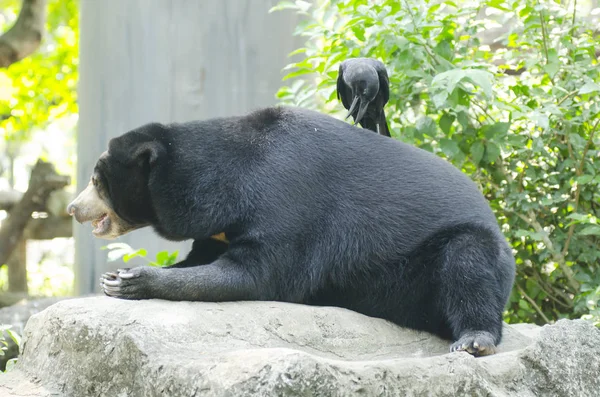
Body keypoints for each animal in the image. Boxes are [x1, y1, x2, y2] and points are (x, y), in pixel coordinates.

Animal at [67, 106, 516, 356]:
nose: (73, 208)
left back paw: (475, 339)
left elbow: (260, 273)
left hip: (459, 253)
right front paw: (119, 277)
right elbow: (200, 260)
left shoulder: (286, 199)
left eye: (95, 179)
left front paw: (129, 279)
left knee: (468, 263)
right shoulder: (216, 227)